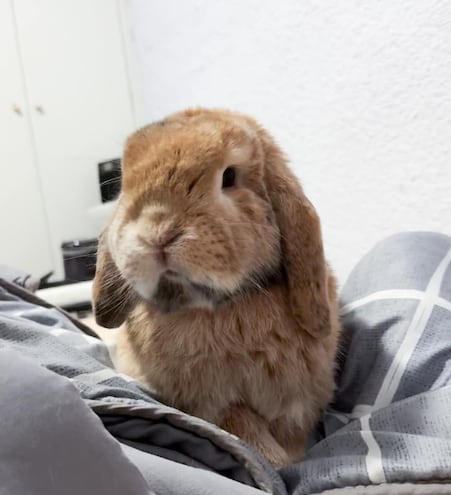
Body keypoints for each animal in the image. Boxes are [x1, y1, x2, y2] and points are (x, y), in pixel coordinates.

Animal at [92, 108, 340, 468]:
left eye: (229, 176)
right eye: (124, 183)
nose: (157, 232)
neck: (218, 309)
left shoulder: (297, 406)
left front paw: (291, 461)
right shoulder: (210, 405)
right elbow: (241, 424)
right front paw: (277, 463)